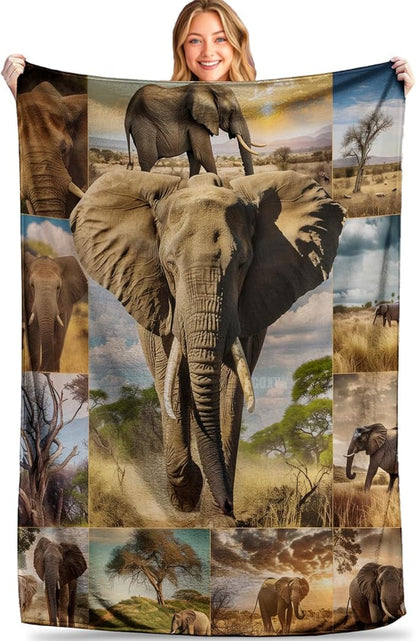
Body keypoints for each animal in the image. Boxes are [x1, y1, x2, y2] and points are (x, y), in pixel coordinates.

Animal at [70, 168, 344, 524]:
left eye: (242, 265)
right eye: (169, 265)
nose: (228, 506)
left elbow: (229, 387)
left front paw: (217, 516)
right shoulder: (162, 303)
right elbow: (170, 380)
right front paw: (187, 495)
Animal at [124, 83, 264, 176]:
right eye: (232, 111)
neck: (211, 89)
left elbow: (195, 157)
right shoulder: (195, 122)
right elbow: (203, 154)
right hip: (143, 125)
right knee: (149, 158)